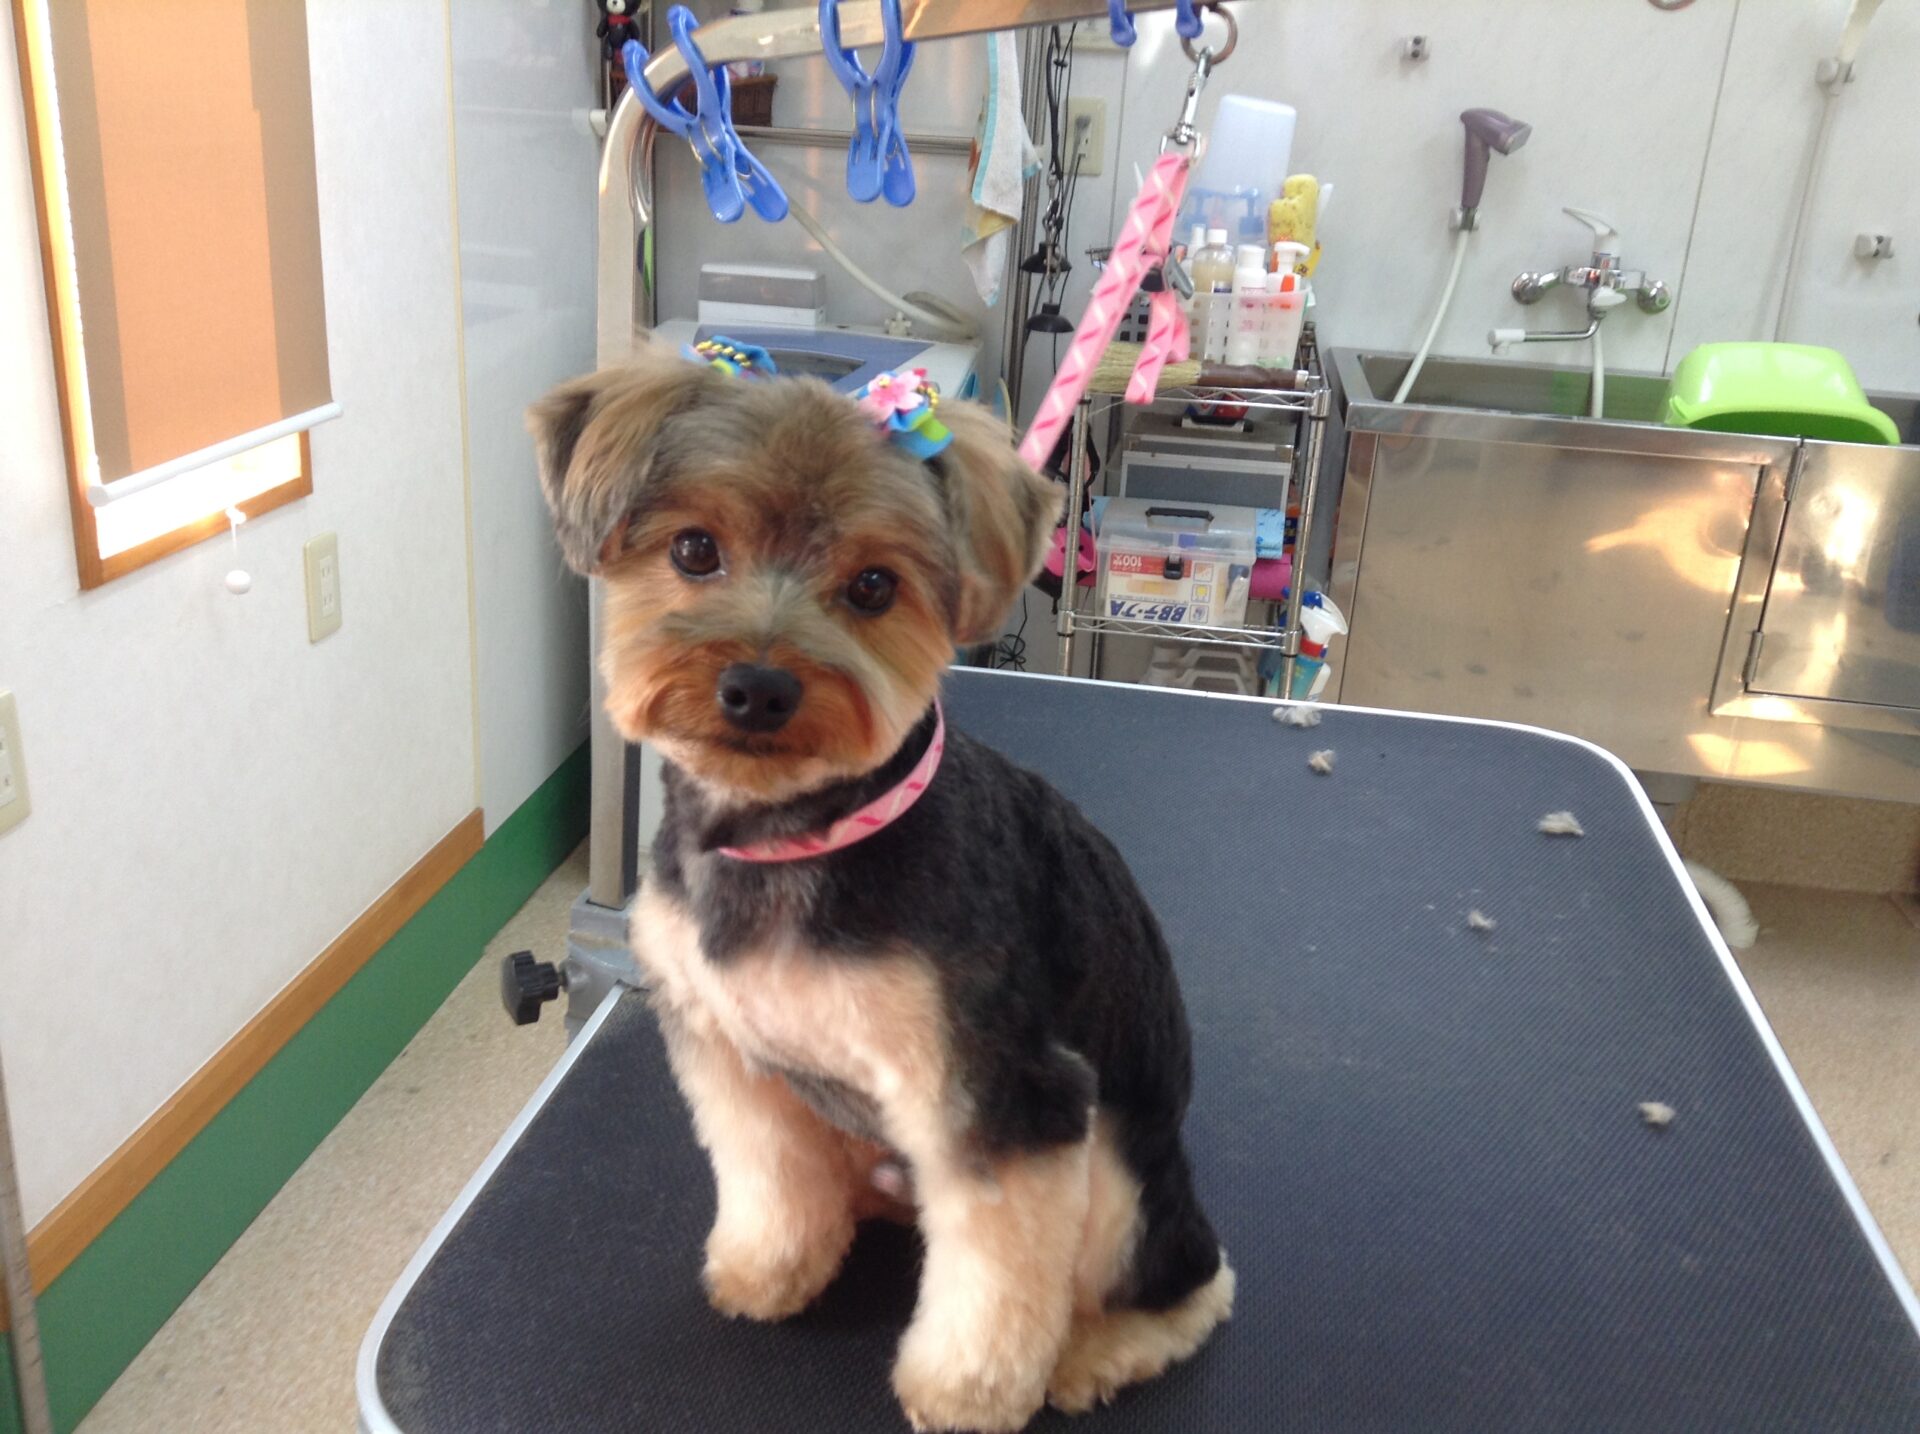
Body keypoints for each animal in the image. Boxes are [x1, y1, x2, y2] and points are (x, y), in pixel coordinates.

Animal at [530, 341, 1232, 1432]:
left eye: (871, 586)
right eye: (694, 550)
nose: (758, 688)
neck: (793, 838)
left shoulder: (1004, 1093)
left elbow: (996, 1276)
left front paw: (968, 1391)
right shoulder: (729, 1051)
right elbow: (768, 1174)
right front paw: (772, 1268)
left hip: (1122, 1171)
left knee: (1192, 1278)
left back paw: (1096, 1350)